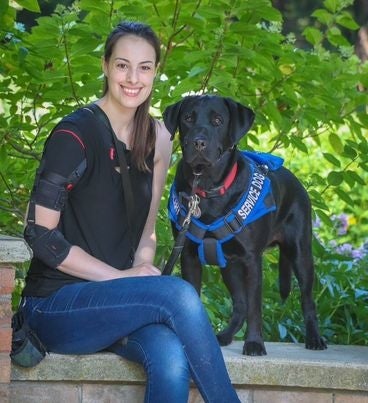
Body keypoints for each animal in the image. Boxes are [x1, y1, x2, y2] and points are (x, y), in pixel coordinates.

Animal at [162, 94, 326, 356]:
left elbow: (255, 307)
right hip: (229, 265)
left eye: (218, 120)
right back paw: (225, 335)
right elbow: (197, 297)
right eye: (187, 118)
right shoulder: (188, 256)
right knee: (239, 305)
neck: (208, 190)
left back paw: (314, 338)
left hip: (300, 252)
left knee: (307, 298)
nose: (198, 143)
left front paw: (255, 343)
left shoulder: (251, 260)